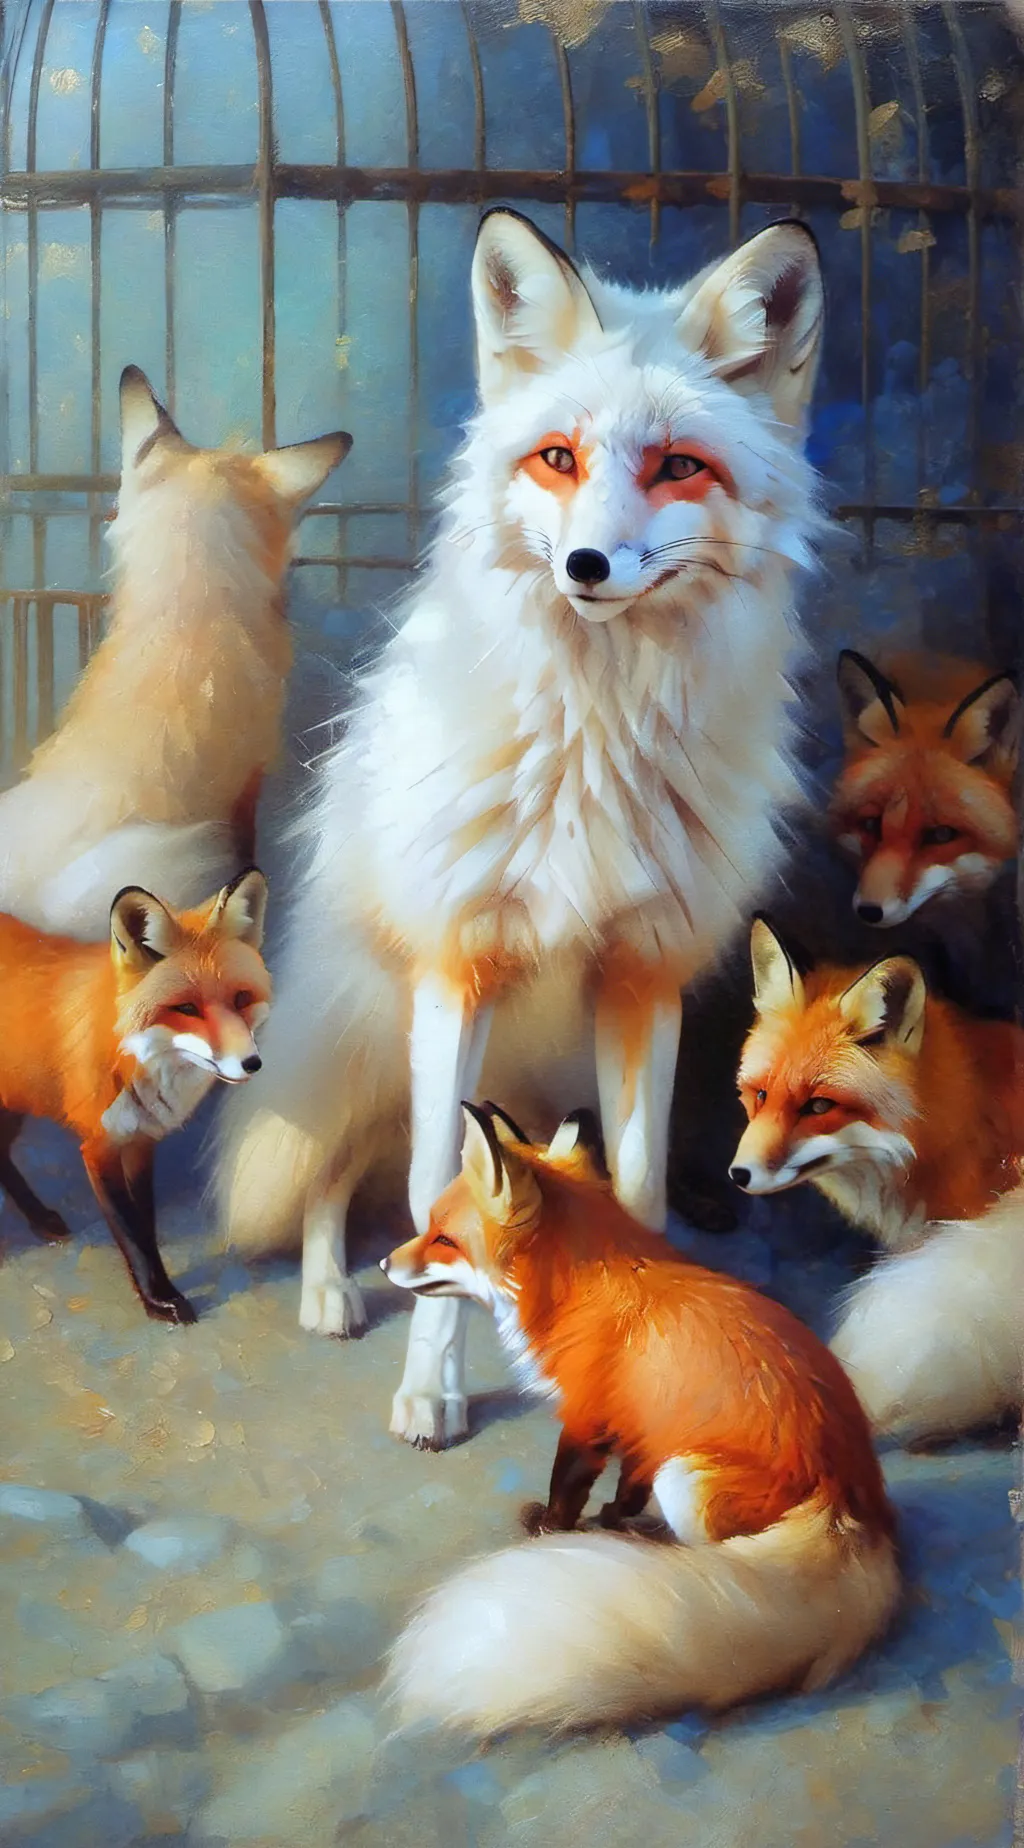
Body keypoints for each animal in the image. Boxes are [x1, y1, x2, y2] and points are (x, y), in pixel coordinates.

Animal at [0, 868, 269, 1325]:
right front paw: (158, 1301)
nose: (252, 1063)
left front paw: (161, 1289)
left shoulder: (142, 1143)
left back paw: (39, 1218)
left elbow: (146, 1226)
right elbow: (128, 1231)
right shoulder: (99, 1148)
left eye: (240, 999)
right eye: (187, 1009)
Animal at [217, 209, 827, 1452]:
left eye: (677, 465)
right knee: (333, 1177)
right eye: (557, 458)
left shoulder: (641, 975)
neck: (598, 738)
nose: (588, 564)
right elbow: (431, 1194)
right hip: (371, 1043)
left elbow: (633, 1197)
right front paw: (431, 1388)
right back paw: (328, 1290)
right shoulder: (460, 968)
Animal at [380, 1102, 900, 1735]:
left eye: (443, 1238)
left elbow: (566, 1488)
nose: (383, 1263)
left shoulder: (589, 1418)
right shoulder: (644, 1419)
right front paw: (613, 1516)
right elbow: (628, 1483)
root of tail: (853, 1510)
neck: (584, 1289)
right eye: (429, 1228)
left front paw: (552, 1529)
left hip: (688, 1478)